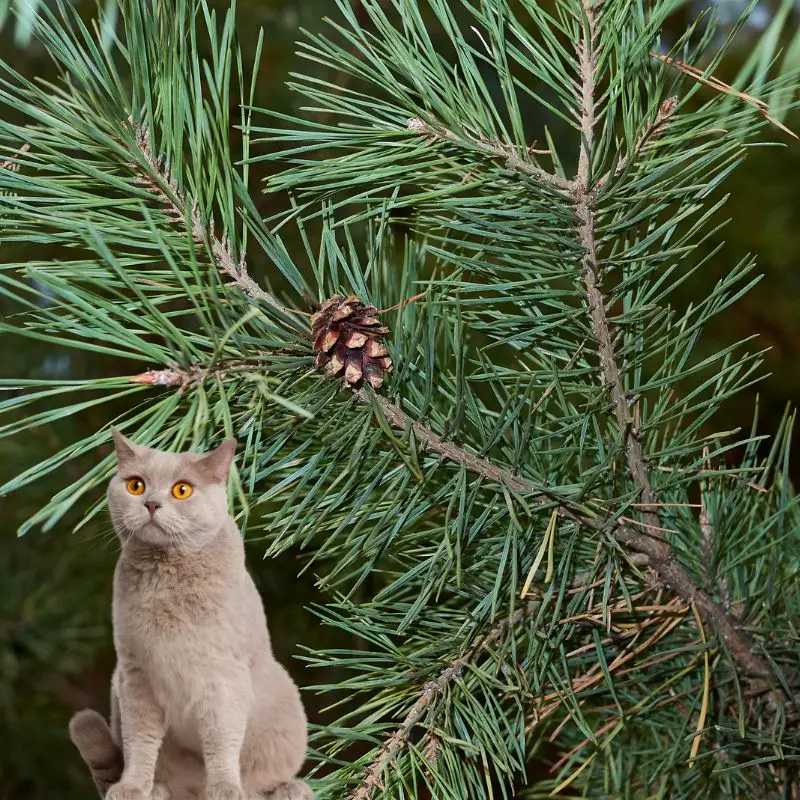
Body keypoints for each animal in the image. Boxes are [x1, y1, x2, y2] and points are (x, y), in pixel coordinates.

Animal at [68, 432, 312, 800]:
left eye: (182, 490)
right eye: (136, 485)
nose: (151, 503)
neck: (166, 579)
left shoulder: (222, 677)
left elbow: (221, 740)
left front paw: (226, 789)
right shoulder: (135, 675)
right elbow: (140, 742)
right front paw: (133, 787)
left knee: (262, 780)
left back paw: (289, 789)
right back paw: (159, 790)